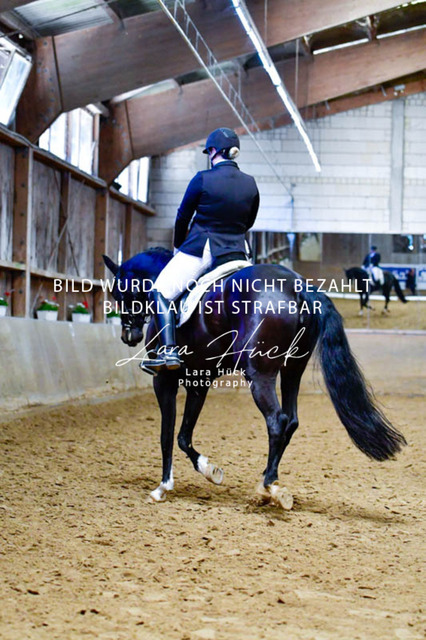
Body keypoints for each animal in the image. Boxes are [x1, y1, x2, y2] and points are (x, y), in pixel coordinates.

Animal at [104, 249, 406, 508]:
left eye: (118, 291)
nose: (128, 335)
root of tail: (299, 286)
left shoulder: (164, 381)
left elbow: (166, 434)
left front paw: (163, 486)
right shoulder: (199, 382)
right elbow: (183, 436)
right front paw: (210, 470)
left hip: (259, 375)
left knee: (276, 420)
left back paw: (268, 485)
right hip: (292, 370)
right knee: (291, 420)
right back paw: (269, 480)